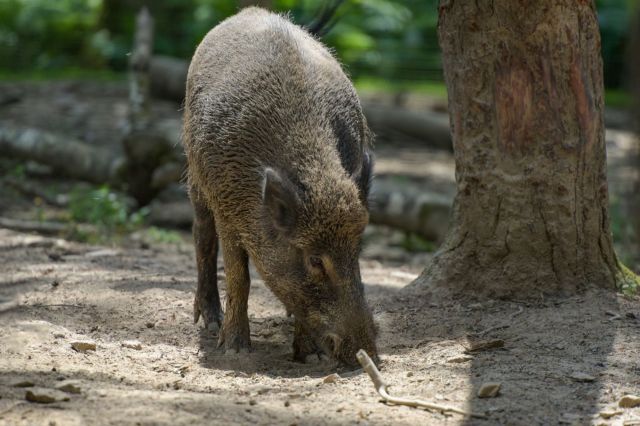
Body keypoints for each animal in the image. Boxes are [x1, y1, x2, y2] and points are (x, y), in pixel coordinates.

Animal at [182, 7, 377, 366]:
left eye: (357, 252)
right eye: (315, 260)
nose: (366, 352)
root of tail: (250, 10)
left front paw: (311, 357)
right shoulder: (227, 208)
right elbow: (238, 275)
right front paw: (234, 349)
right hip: (195, 176)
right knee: (202, 237)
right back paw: (210, 321)